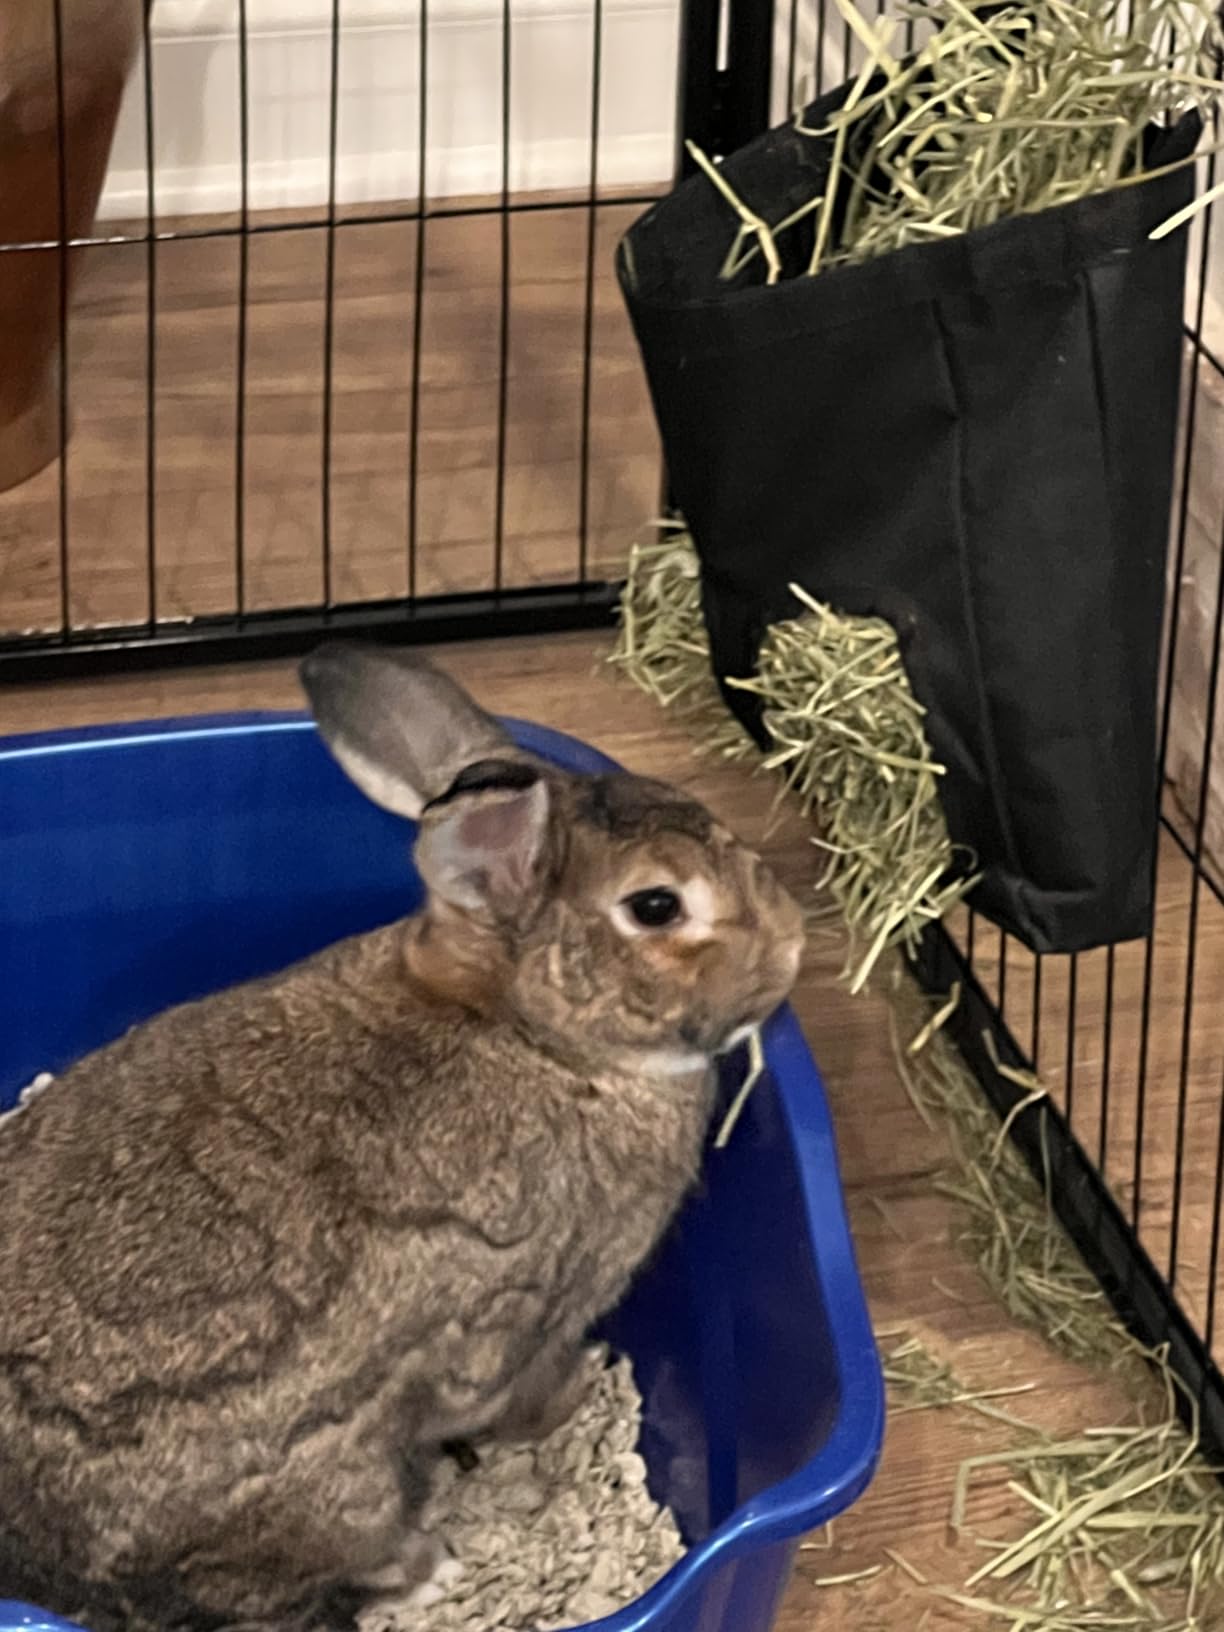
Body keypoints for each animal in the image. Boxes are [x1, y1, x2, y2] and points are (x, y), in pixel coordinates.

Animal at [0, 641, 805, 1632]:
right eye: (657, 906)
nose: (793, 943)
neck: (531, 1032)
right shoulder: (531, 1314)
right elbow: (510, 1394)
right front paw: (577, 1386)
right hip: (332, 1489)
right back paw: (431, 1569)